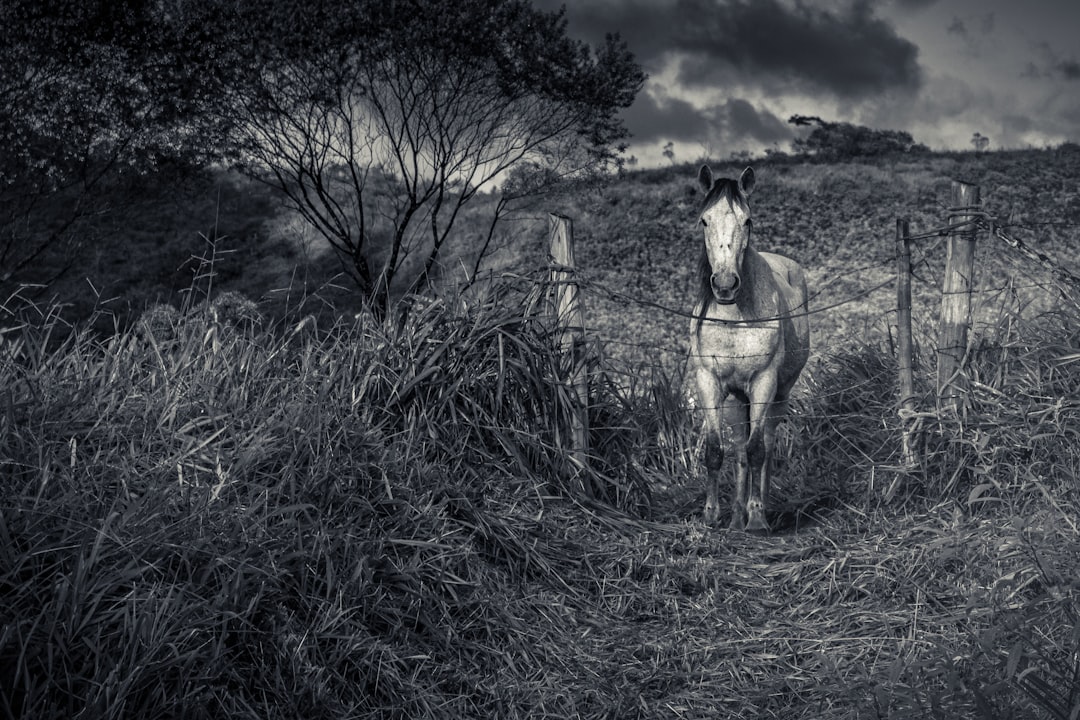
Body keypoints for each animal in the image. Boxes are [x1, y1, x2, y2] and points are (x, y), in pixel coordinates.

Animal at [689, 165, 810, 533]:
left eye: (748, 221)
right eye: (704, 220)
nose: (725, 285)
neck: (734, 317)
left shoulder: (763, 382)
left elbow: (757, 450)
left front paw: (757, 518)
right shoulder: (709, 382)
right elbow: (717, 451)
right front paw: (711, 516)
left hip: (778, 395)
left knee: (765, 445)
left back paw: (760, 508)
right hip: (736, 400)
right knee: (740, 450)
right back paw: (736, 516)